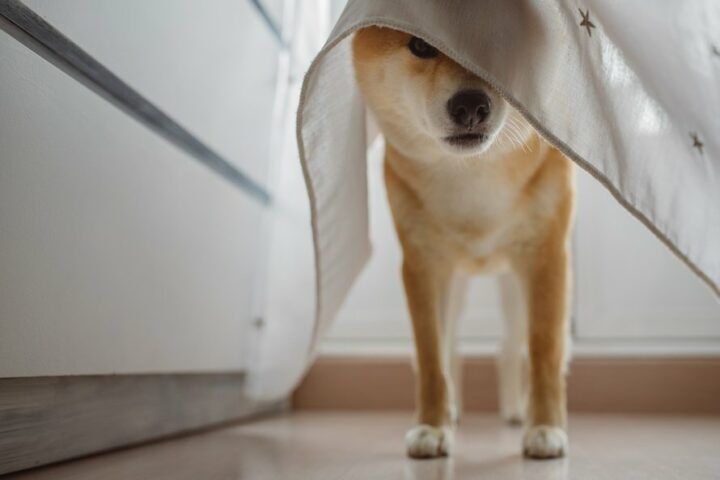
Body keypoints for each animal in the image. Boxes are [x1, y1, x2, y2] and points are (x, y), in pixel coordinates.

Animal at [352, 27, 576, 462]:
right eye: (421, 45)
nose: (471, 105)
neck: (473, 177)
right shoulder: (424, 265)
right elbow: (432, 357)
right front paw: (432, 426)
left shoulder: (546, 256)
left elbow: (544, 350)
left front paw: (544, 427)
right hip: (455, 284)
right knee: (454, 346)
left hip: (513, 286)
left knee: (510, 347)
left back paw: (515, 409)